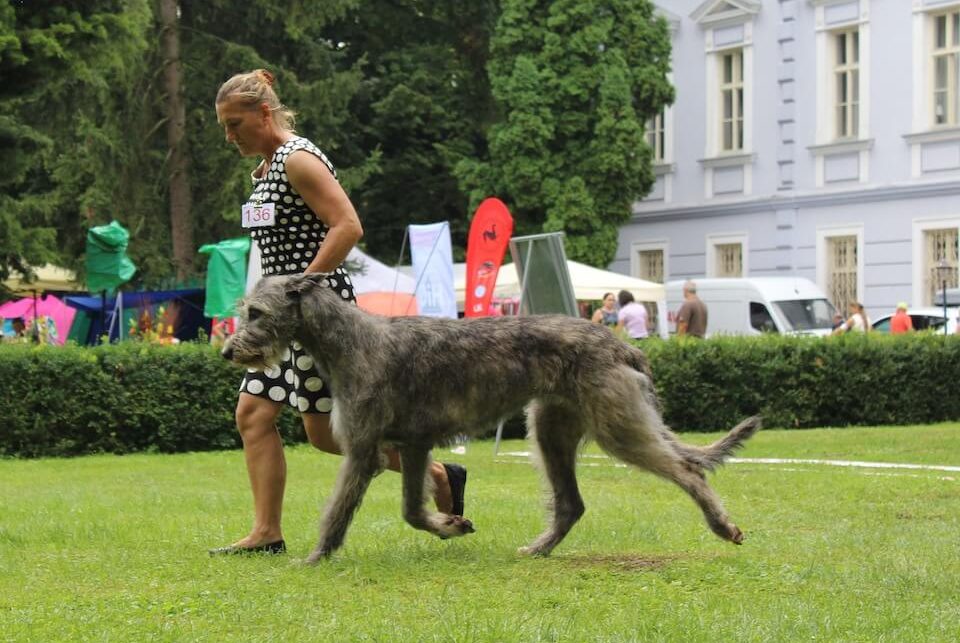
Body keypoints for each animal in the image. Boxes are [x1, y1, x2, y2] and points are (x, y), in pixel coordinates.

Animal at [221, 272, 760, 564]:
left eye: (256, 312)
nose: (227, 352)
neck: (350, 340)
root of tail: (621, 344)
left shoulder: (363, 449)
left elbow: (337, 512)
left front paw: (314, 558)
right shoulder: (413, 444)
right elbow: (412, 509)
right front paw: (451, 525)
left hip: (616, 425)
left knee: (687, 470)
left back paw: (724, 526)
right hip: (550, 430)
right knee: (572, 504)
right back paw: (538, 549)